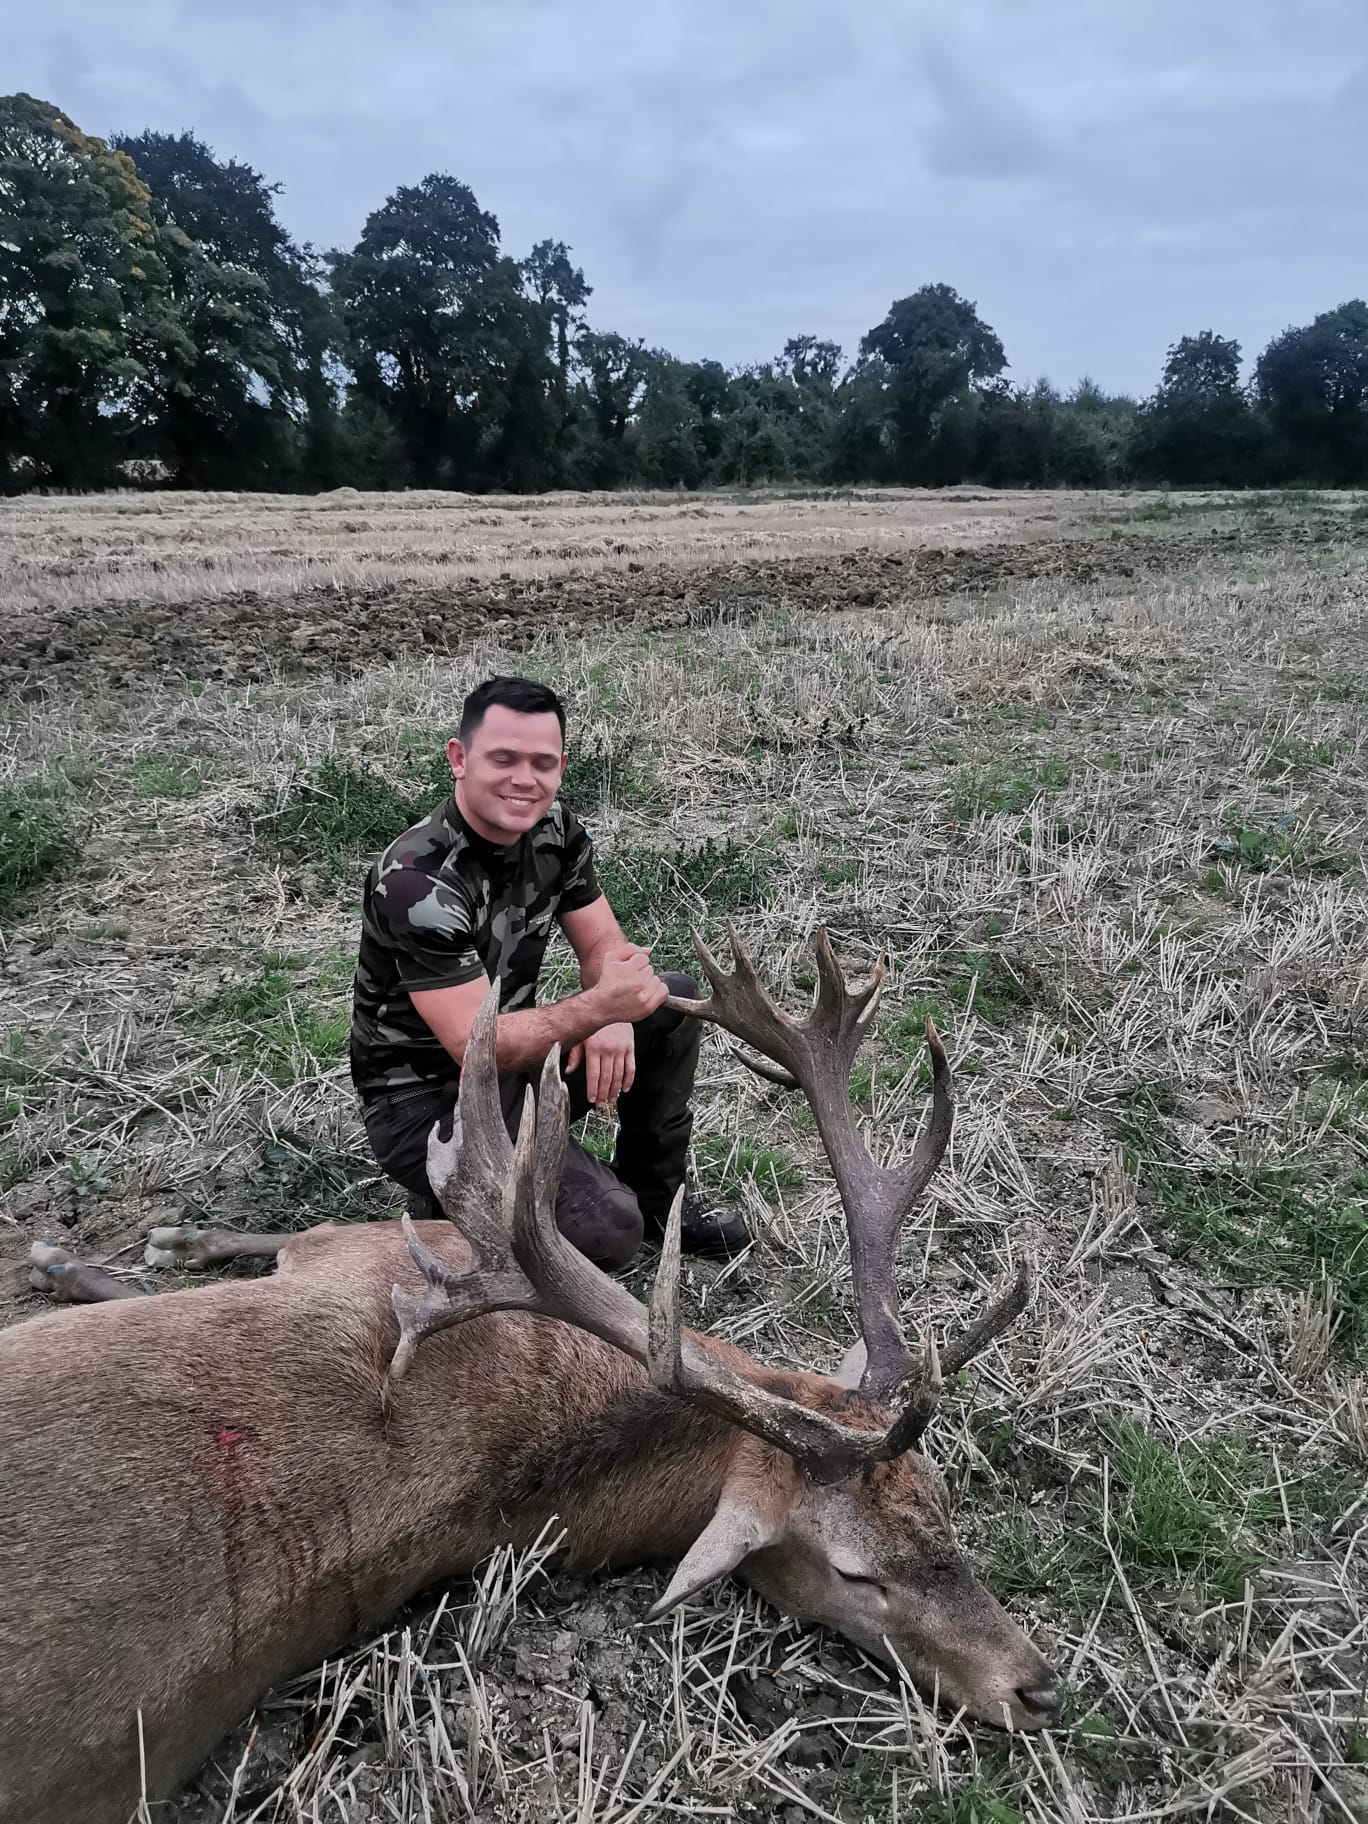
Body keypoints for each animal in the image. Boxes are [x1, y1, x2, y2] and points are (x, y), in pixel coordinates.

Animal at [0, 929, 1057, 1824]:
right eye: (855, 1573)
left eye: (945, 1505)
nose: (1037, 1687)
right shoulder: (370, 1253)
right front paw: (113, 1251)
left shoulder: (367, 1258)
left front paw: (106, 1255)